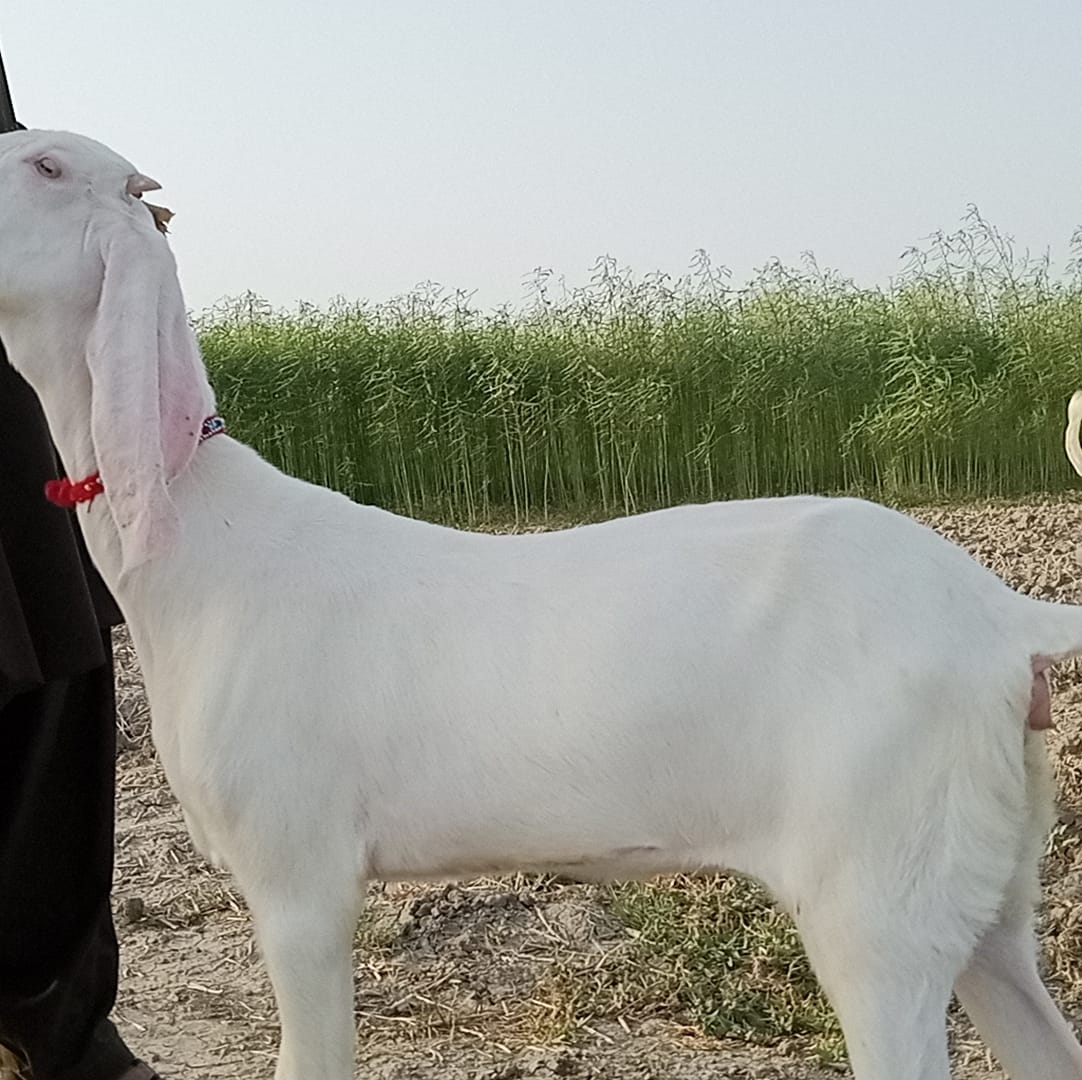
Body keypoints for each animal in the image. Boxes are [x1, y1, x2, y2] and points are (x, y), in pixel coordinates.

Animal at [1, 129, 1082, 1080]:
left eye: (44, 163)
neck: (206, 545)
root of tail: (996, 613)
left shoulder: (299, 875)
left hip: (880, 882)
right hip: (985, 879)